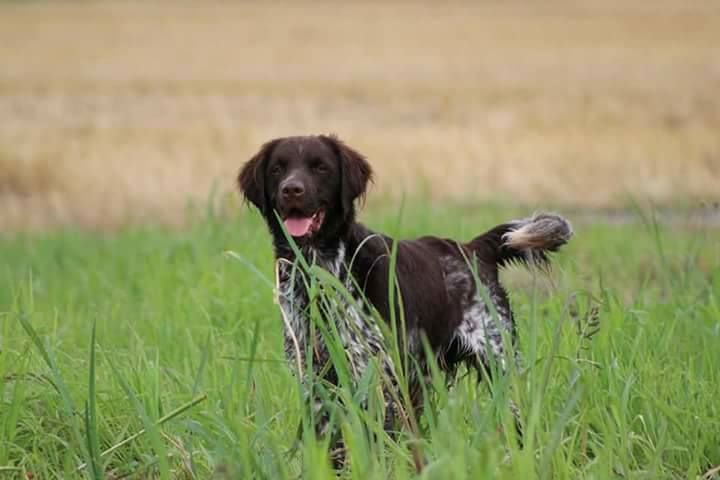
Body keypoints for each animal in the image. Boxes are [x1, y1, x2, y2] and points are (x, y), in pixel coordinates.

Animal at [239, 134, 572, 462]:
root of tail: (473, 248)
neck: (320, 271)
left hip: (498, 363)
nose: (292, 190)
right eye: (277, 169)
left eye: (320, 167)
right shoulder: (317, 380)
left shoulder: (378, 380)